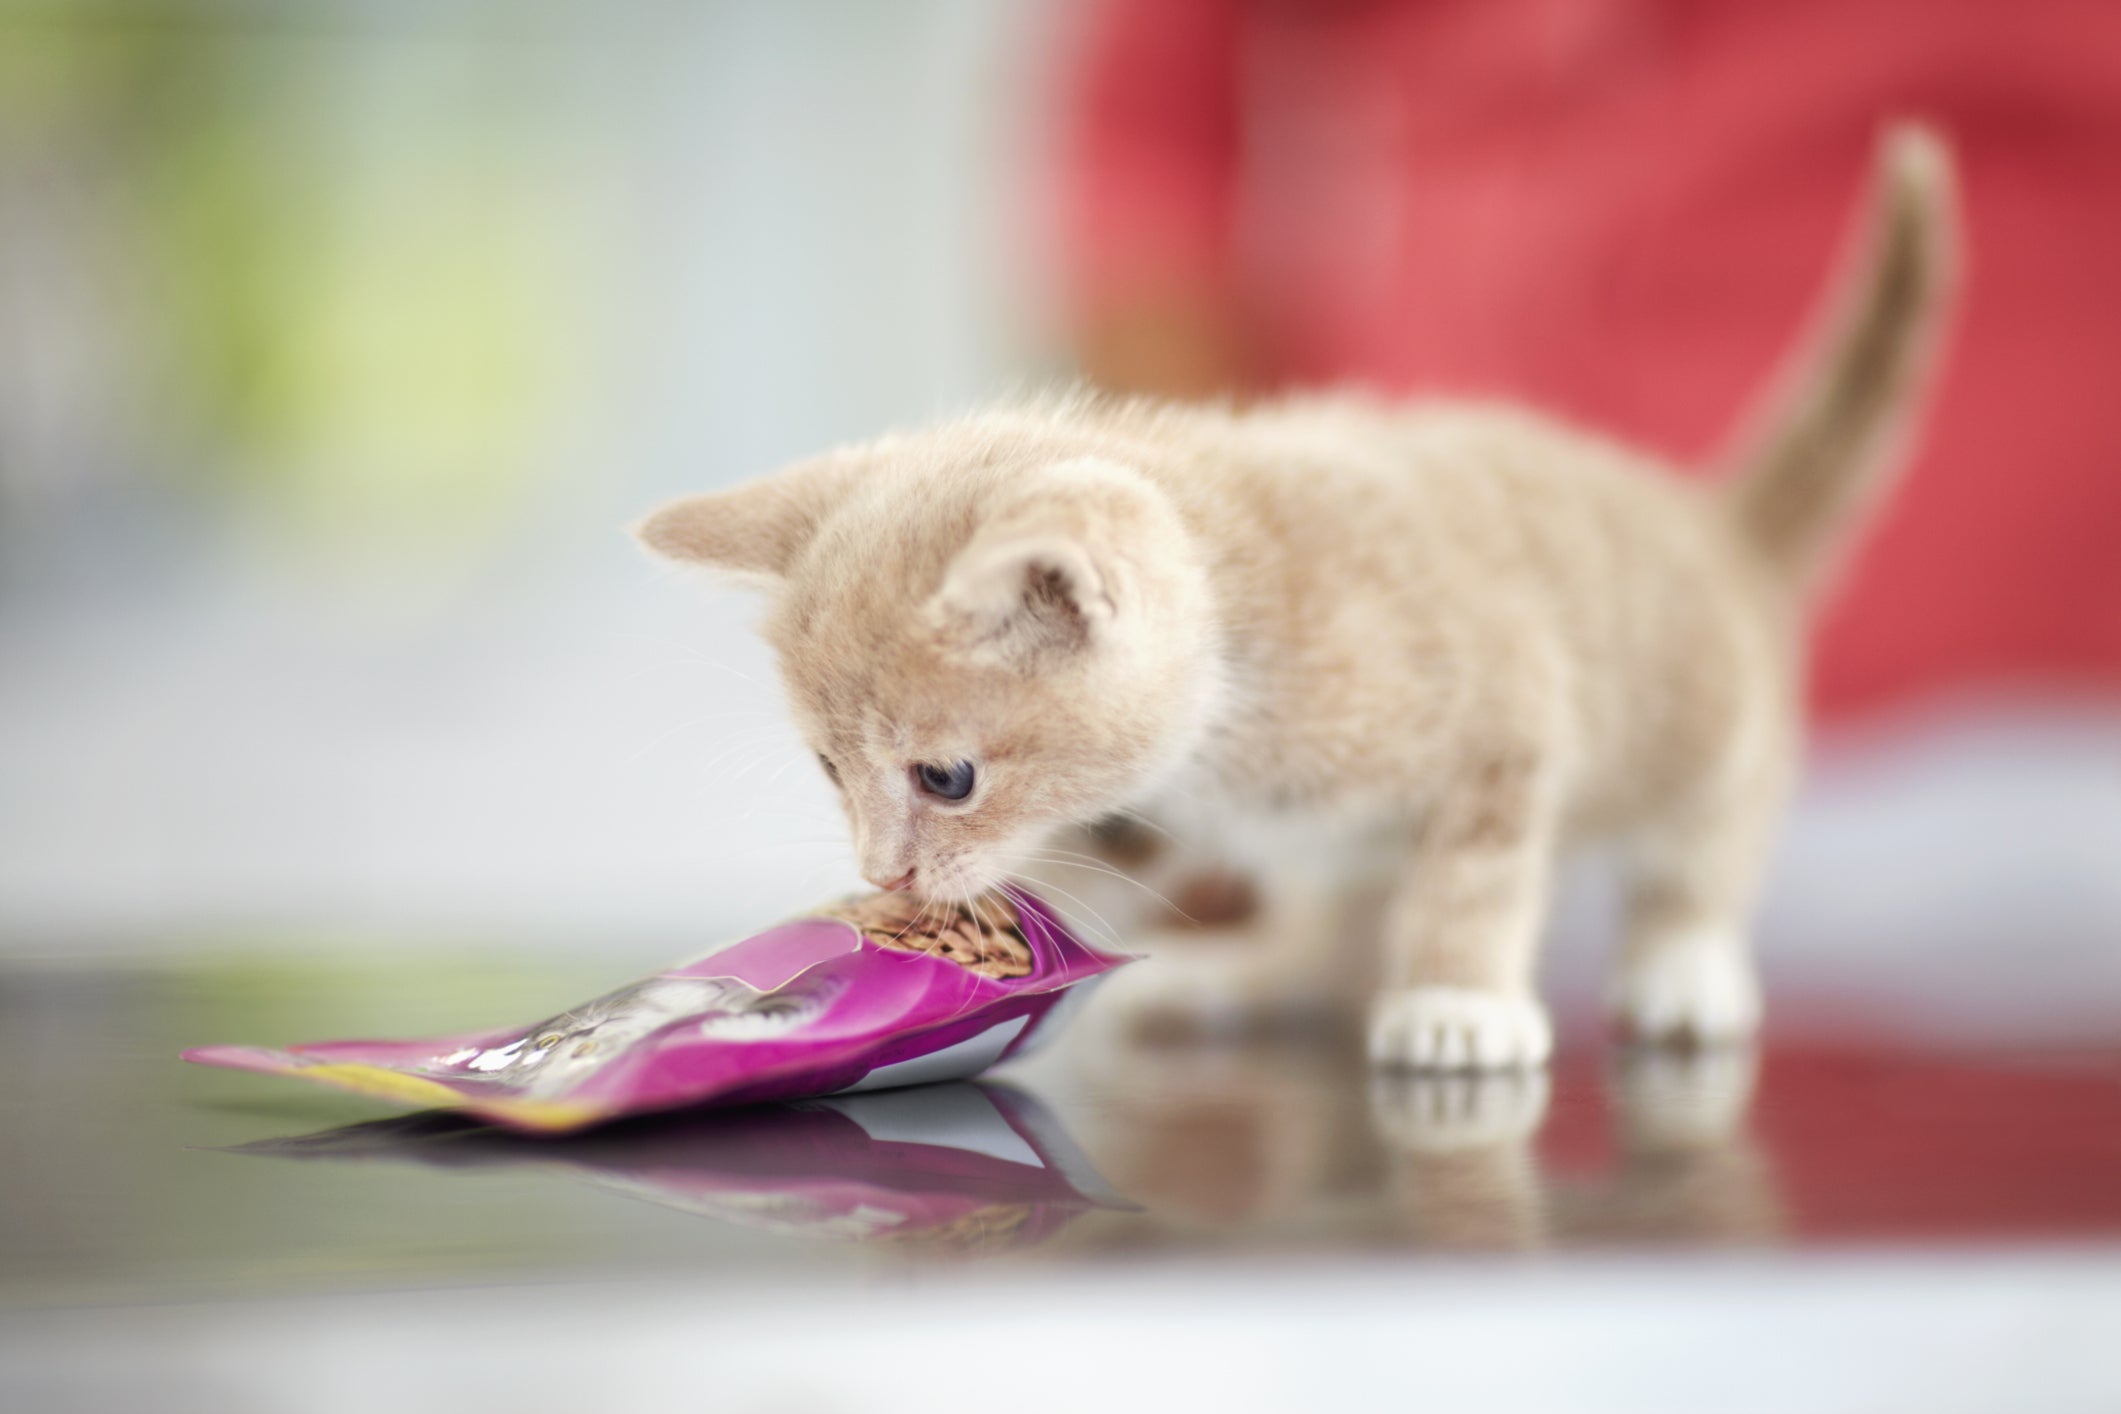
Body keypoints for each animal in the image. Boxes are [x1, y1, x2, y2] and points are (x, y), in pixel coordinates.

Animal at [627, 127, 1951, 1072]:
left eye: (945, 777)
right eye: (826, 771)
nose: (887, 875)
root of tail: (1710, 520)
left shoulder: (1505, 720)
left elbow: (1474, 877)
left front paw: (1459, 996)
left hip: (1712, 729)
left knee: (1703, 848)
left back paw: (1684, 966)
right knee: (1347, 916)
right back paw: (1252, 976)